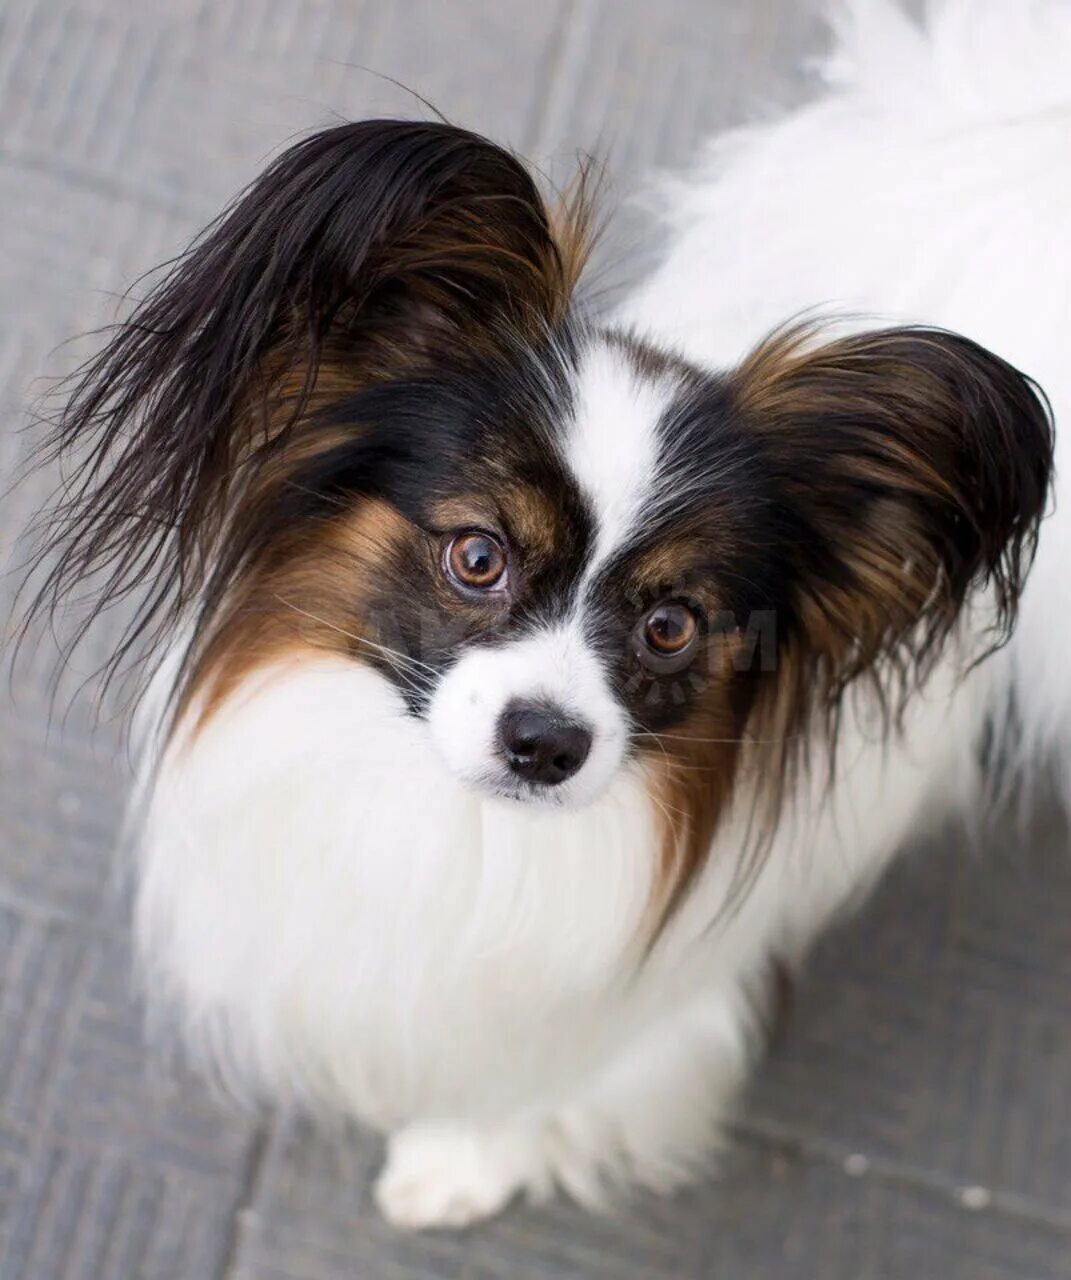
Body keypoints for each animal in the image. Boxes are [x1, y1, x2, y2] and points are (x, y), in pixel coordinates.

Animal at [26, 0, 1070, 1229]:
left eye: (671, 625)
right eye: (478, 556)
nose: (544, 743)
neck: (462, 829)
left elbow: (537, 1086)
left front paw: (456, 1164)